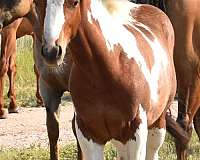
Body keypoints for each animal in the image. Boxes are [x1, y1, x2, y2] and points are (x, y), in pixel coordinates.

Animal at [41, 0, 176, 159]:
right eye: (39, 3)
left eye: (74, 3)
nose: (51, 51)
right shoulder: (88, 134)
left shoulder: (136, 131)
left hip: (157, 124)